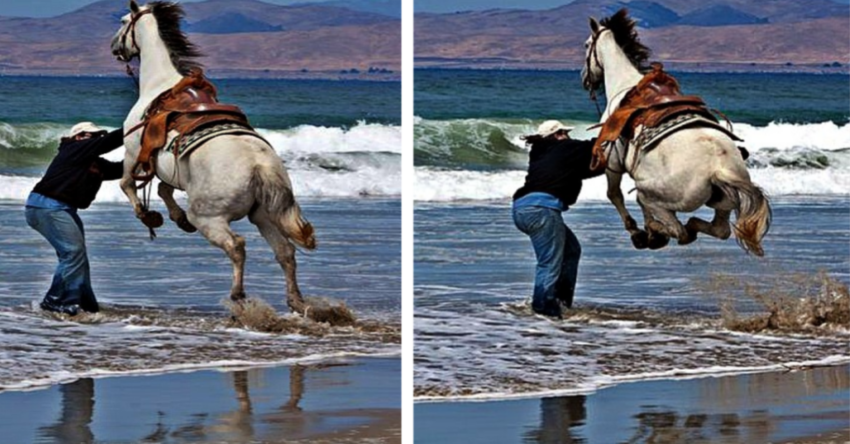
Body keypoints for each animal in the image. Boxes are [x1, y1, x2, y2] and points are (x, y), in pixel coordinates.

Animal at [109, 0, 314, 312]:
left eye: (123, 21)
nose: (114, 46)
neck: (159, 85)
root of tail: (259, 167)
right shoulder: (170, 169)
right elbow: (163, 188)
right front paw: (176, 218)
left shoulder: (133, 153)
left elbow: (128, 184)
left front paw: (148, 216)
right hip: (263, 215)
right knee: (285, 252)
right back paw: (296, 302)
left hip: (209, 218)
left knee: (237, 246)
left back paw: (238, 296)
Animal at [584, 8, 768, 255]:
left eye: (587, 45)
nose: (585, 79)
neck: (624, 86)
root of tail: (718, 170)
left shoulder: (612, 162)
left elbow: (614, 195)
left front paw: (637, 233)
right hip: (723, 203)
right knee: (718, 230)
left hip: (653, 194)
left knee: (673, 225)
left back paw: (656, 232)